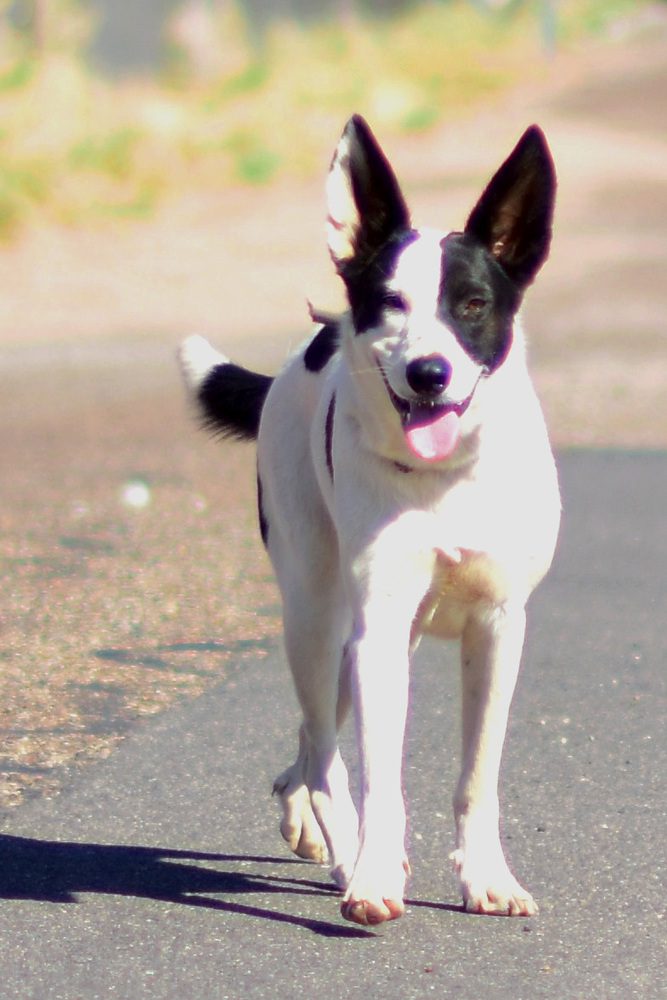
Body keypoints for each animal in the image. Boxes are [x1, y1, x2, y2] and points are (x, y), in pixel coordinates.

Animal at [180, 117, 560, 928]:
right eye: (389, 303)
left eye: (472, 304)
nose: (428, 373)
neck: (446, 477)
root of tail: (312, 341)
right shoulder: (379, 626)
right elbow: (378, 777)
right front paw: (376, 874)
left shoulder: (496, 627)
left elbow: (477, 776)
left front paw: (486, 877)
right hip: (321, 619)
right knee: (326, 750)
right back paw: (345, 849)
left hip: (363, 641)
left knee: (310, 733)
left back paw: (306, 819)